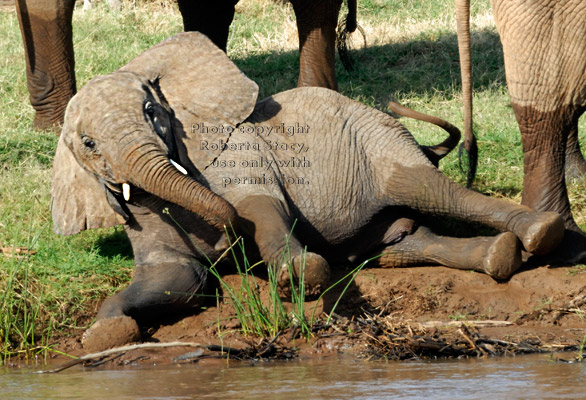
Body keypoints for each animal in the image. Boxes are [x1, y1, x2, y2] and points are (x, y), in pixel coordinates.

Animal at [52, 32, 564, 352]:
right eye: (88, 144)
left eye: (152, 113)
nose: (226, 243)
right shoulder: (142, 216)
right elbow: (176, 277)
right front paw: (104, 333)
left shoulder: (237, 148)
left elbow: (260, 206)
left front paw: (300, 278)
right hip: (384, 228)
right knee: (408, 241)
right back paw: (498, 256)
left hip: (381, 142)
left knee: (432, 191)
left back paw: (541, 233)